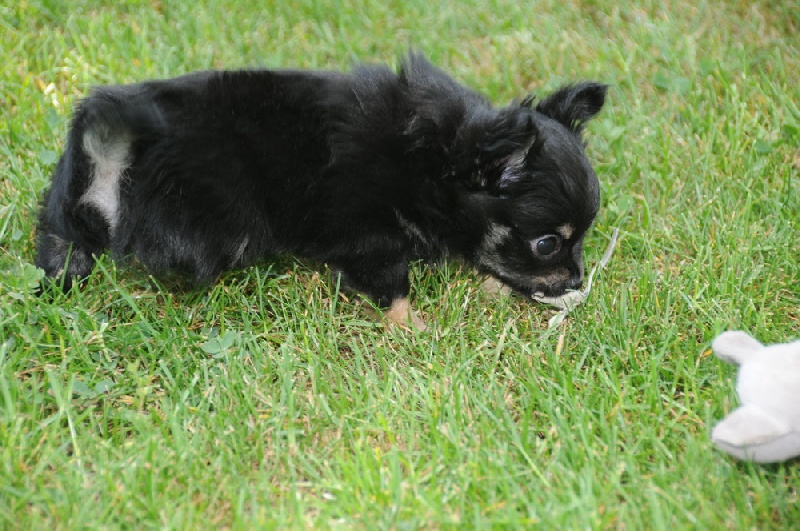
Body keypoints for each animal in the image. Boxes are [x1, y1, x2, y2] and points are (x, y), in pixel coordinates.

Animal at [32, 54, 608, 328]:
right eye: (548, 244)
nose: (577, 279)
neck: (430, 163)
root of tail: (117, 147)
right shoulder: (369, 234)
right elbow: (392, 285)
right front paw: (413, 324)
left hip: (70, 208)